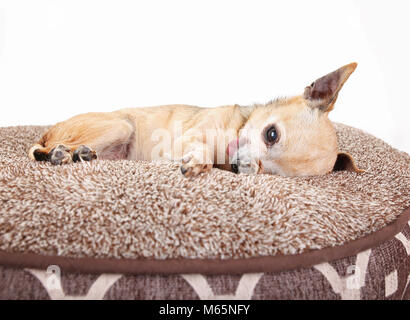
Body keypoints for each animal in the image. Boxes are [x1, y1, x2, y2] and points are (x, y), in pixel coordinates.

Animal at [28, 62, 362, 178]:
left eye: (271, 173)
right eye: (271, 134)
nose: (239, 167)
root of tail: (49, 132)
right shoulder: (183, 141)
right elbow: (200, 150)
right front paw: (200, 161)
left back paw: (79, 154)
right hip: (119, 125)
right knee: (39, 150)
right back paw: (59, 153)